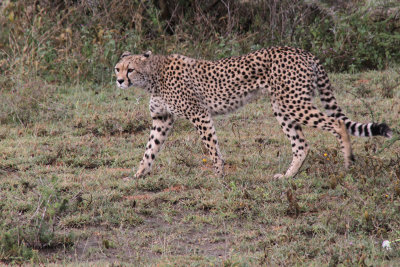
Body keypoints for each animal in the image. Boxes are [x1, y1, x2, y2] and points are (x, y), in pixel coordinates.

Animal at [113, 47, 390, 179]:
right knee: (301, 144)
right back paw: (288, 176)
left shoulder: (199, 114)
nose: (119, 81)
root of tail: (303, 51)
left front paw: (219, 175)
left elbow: (211, 147)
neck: (153, 76)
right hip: (282, 106)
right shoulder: (162, 119)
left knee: (337, 123)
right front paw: (138, 175)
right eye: (118, 68)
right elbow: (150, 149)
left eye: (130, 69)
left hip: (293, 102)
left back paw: (348, 162)